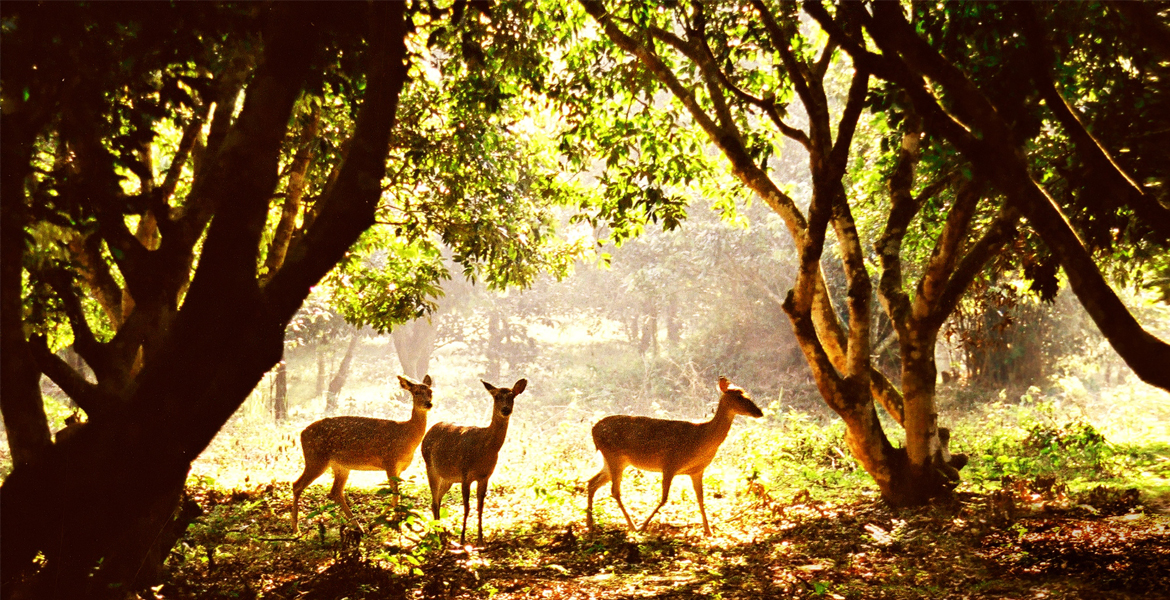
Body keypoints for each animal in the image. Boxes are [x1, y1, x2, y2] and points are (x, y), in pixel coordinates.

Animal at [291, 371, 435, 530]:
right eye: (416, 392)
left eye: (430, 392)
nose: (428, 403)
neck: (406, 436)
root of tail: (302, 434)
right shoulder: (389, 461)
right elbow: (395, 496)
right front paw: (382, 524)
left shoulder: (399, 469)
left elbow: (397, 496)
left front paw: (394, 523)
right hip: (316, 458)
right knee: (297, 485)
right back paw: (296, 528)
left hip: (340, 466)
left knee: (335, 492)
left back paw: (358, 526)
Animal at [421, 378, 526, 547]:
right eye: (496, 396)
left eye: (512, 396)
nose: (505, 409)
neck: (484, 448)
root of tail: (429, 431)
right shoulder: (465, 474)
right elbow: (467, 507)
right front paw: (463, 540)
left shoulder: (485, 476)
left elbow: (480, 507)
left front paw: (481, 540)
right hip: (430, 467)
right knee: (435, 502)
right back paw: (438, 536)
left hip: (448, 478)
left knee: (436, 500)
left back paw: (442, 535)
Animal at [585, 376, 767, 535]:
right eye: (739, 397)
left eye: (746, 394)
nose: (760, 412)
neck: (702, 438)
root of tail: (594, 430)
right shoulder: (670, 463)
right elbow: (664, 498)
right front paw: (644, 526)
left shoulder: (697, 470)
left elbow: (701, 498)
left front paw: (708, 531)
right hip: (614, 456)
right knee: (614, 490)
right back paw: (632, 526)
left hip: (614, 460)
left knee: (592, 483)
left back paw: (590, 524)